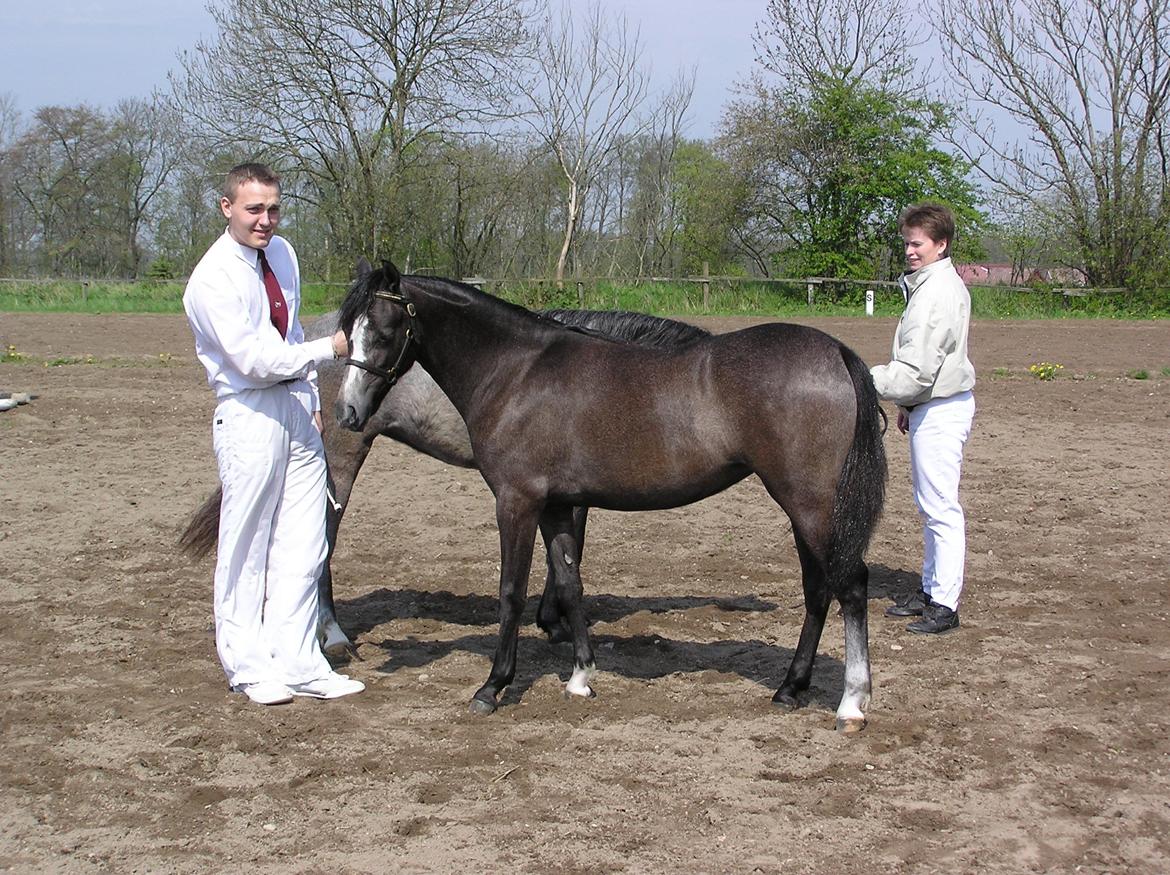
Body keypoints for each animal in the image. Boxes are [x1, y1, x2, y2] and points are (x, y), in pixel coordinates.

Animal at [179, 300, 711, 655]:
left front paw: (553, 620)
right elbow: (570, 548)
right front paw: (553, 621)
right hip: (339, 460)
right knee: (321, 543)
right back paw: (333, 636)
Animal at [336, 263, 887, 732]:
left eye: (383, 332)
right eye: (346, 332)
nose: (347, 412)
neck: (516, 370)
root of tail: (835, 352)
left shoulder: (517, 502)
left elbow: (511, 591)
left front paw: (492, 686)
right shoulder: (557, 505)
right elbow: (569, 583)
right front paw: (581, 677)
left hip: (811, 504)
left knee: (851, 585)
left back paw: (851, 703)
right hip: (803, 509)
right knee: (817, 589)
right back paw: (790, 688)